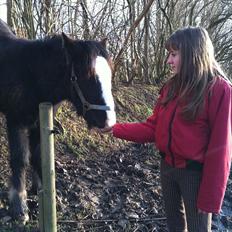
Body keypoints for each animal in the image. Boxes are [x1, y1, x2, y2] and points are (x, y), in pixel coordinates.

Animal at [0, 20, 115, 223]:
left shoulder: (39, 122)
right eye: (86, 76)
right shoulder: (15, 121)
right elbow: (20, 159)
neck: (32, 75)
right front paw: (19, 207)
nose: (108, 122)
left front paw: (43, 192)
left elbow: (38, 155)